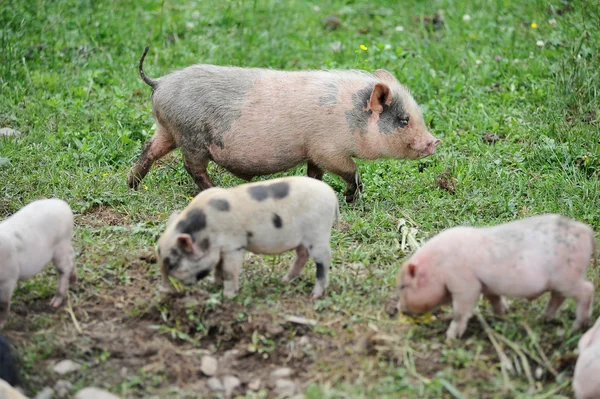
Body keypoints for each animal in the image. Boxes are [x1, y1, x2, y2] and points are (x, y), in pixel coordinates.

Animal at [0, 200, 77, 328]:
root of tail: (64, 205)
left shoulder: (9, 278)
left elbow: (3, 303)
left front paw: (1, 324)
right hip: (65, 245)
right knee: (71, 257)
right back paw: (73, 282)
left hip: (61, 244)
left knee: (64, 268)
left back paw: (54, 303)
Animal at [126, 47, 440, 203]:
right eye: (403, 120)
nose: (435, 142)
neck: (351, 116)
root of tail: (160, 82)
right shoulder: (329, 150)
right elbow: (352, 171)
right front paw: (352, 199)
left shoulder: (314, 154)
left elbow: (314, 175)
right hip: (191, 136)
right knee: (192, 167)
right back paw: (217, 191)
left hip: (168, 129)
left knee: (149, 149)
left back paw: (131, 186)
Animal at [156, 177, 338, 298]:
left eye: (173, 264)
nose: (164, 290)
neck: (205, 229)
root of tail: (332, 195)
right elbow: (218, 267)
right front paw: (213, 283)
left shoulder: (234, 245)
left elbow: (229, 270)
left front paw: (227, 296)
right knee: (302, 255)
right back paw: (284, 280)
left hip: (319, 232)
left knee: (324, 259)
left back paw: (315, 295)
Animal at [386, 214, 596, 342]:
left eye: (403, 286)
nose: (399, 308)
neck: (438, 267)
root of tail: (587, 232)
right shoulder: (488, 286)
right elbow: (495, 299)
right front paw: (502, 315)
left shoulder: (465, 285)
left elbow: (461, 311)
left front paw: (450, 337)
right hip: (559, 282)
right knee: (557, 297)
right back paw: (542, 319)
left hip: (568, 277)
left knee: (587, 289)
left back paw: (576, 327)